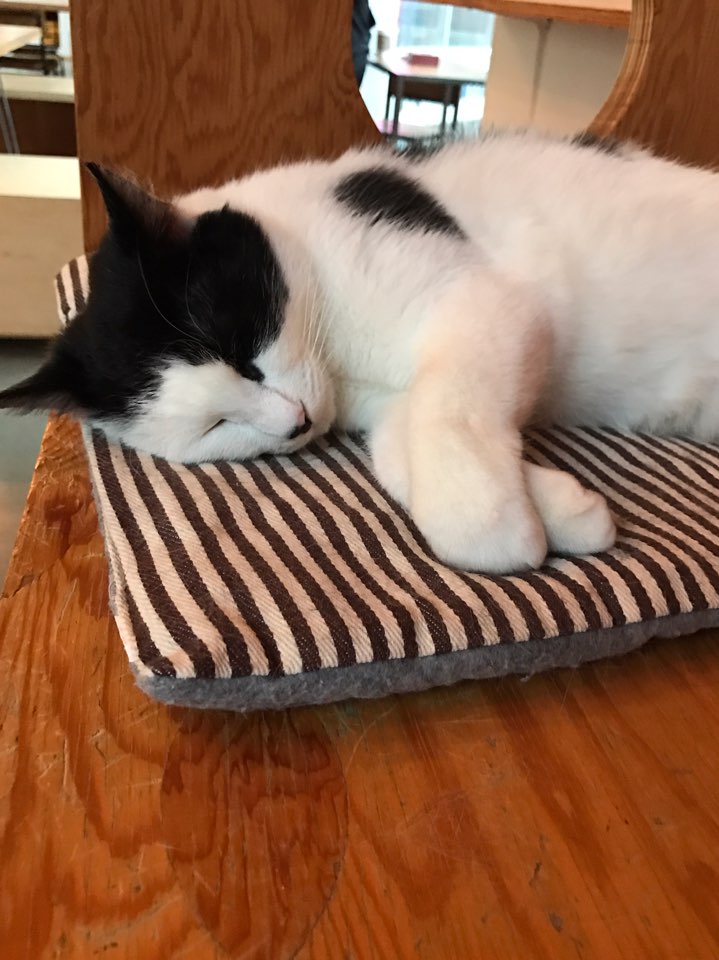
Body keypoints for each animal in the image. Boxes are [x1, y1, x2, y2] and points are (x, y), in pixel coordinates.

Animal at [3, 131, 719, 575]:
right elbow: (406, 451)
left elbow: (445, 415)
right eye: (213, 426)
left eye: (243, 353)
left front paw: (492, 530)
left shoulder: (486, 304)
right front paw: (561, 509)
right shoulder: (392, 402)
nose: (293, 424)